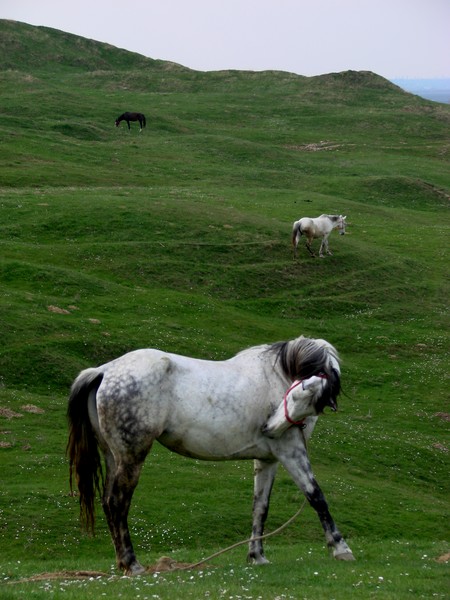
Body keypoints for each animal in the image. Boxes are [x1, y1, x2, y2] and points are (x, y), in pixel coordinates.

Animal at [67, 336, 356, 576]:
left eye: (303, 393)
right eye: (296, 392)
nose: (269, 428)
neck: (275, 377)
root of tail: (104, 370)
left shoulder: (268, 460)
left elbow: (260, 508)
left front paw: (257, 556)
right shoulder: (291, 452)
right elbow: (316, 497)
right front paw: (341, 548)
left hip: (113, 456)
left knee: (107, 502)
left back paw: (123, 563)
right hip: (131, 457)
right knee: (117, 503)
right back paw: (133, 564)